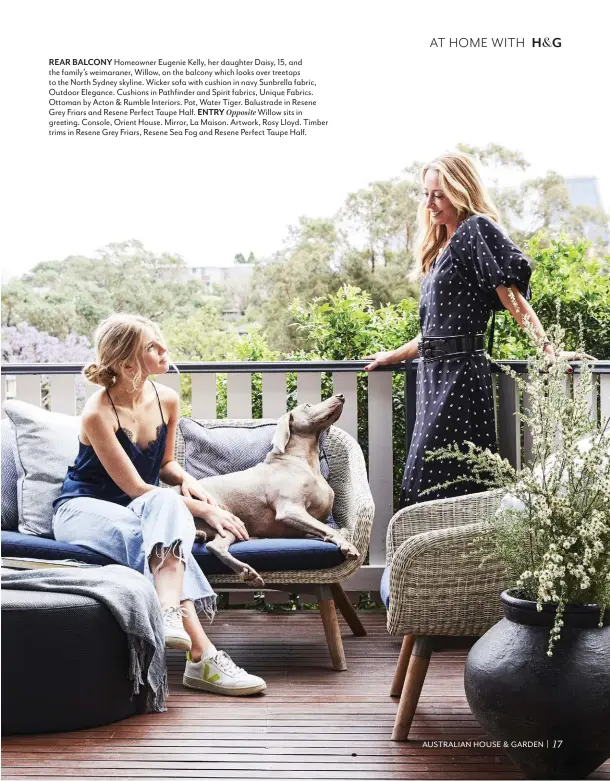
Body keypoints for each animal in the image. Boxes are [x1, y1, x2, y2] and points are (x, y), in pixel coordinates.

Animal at [192, 396, 358, 584]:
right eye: (307, 405)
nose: (341, 396)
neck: (303, 461)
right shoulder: (290, 510)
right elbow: (330, 529)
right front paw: (348, 546)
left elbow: (338, 530)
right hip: (226, 516)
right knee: (214, 546)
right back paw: (246, 571)